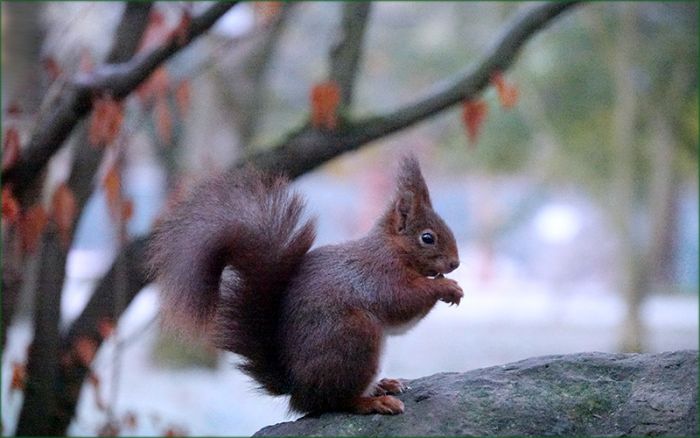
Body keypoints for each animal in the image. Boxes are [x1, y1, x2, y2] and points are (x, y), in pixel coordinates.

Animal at [148, 155, 463, 415]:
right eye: (427, 238)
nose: (455, 263)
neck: (393, 249)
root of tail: (295, 387)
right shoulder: (377, 275)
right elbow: (402, 301)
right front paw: (447, 287)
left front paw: (450, 286)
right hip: (353, 338)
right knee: (334, 402)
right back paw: (373, 401)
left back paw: (382, 385)